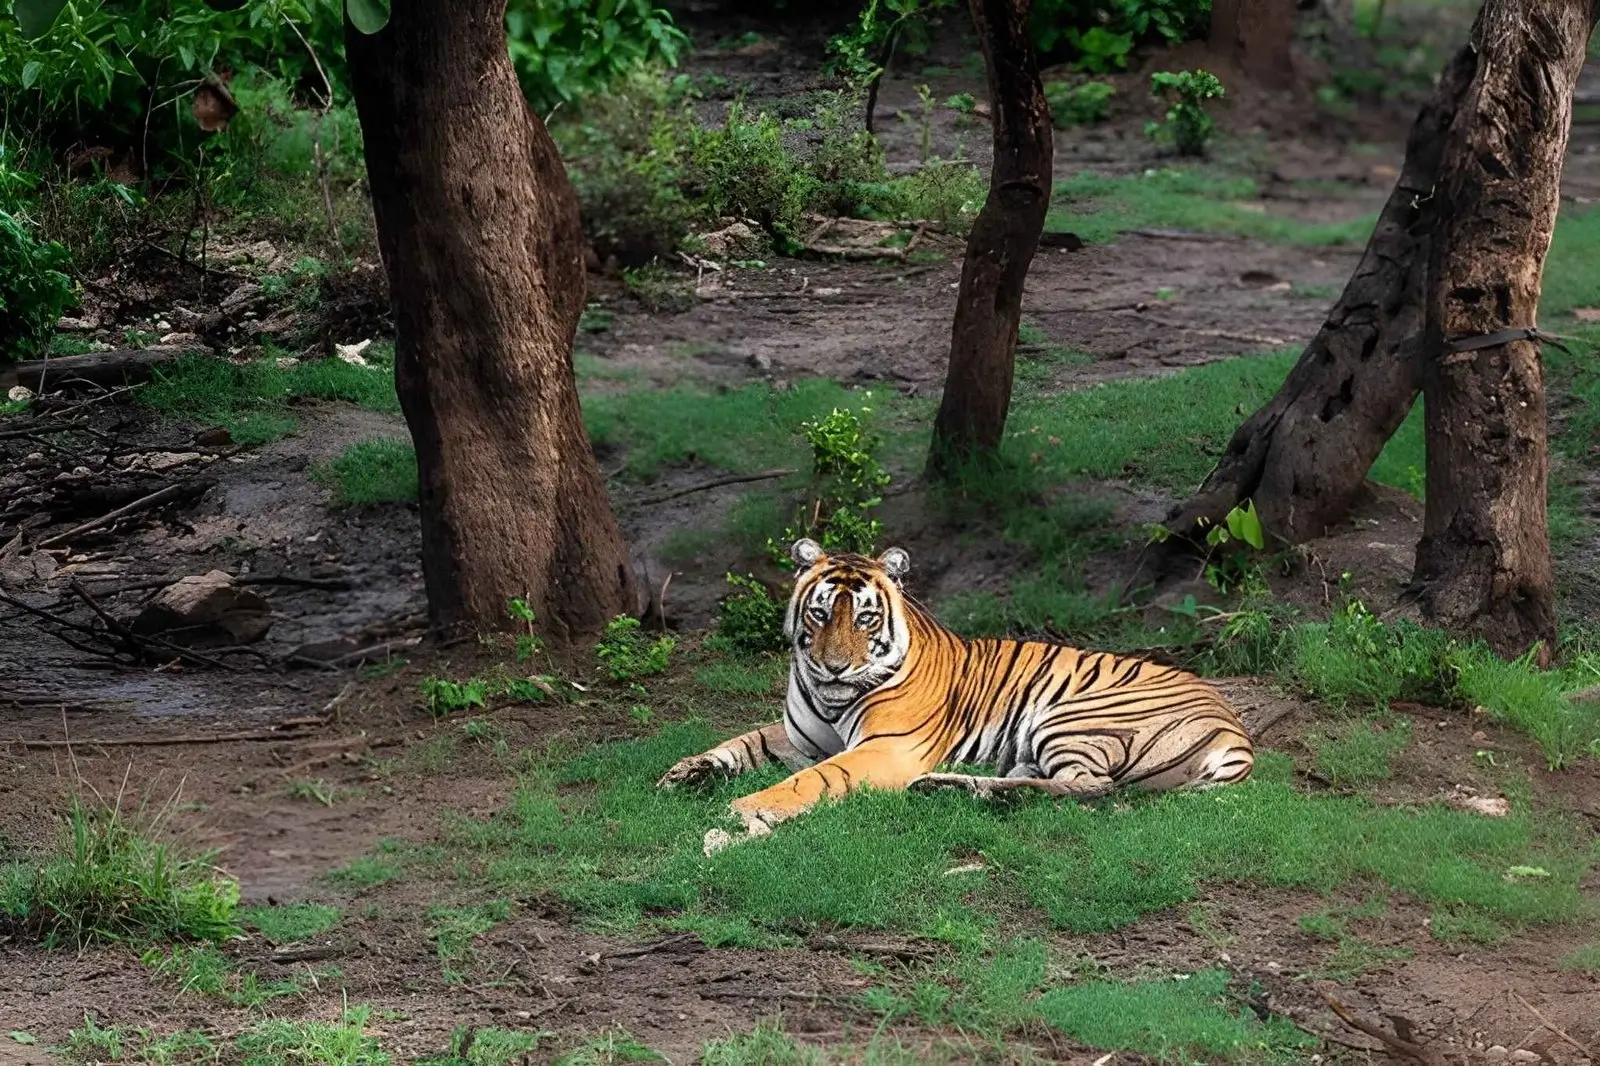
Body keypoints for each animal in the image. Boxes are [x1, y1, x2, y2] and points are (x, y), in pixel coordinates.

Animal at [658, 538, 1254, 844]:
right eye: (820, 613)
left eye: (866, 619)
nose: (833, 667)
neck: (830, 698)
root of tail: (1237, 731)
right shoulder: (799, 736)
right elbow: (741, 742)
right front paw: (683, 773)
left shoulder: (886, 749)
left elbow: (814, 780)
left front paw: (746, 810)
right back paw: (956, 787)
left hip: (1072, 714)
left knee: (1092, 789)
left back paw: (960, 789)